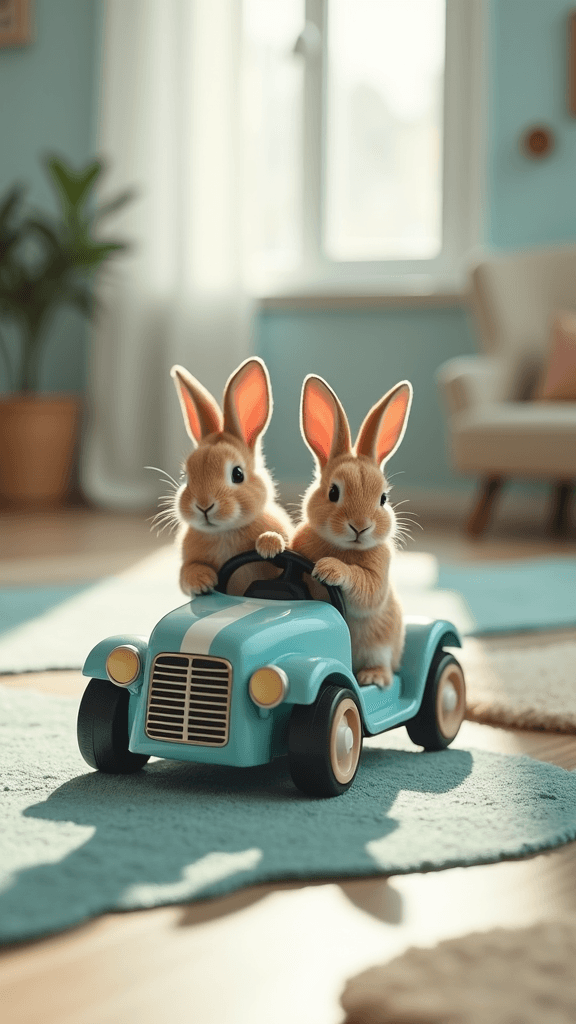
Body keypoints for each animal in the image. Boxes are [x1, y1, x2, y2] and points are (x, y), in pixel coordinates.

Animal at [169, 356, 291, 598]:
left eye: (237, 474)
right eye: (185, 476)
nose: (204, 506)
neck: (225, 532)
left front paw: (270, 543)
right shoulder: (188, 563)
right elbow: (187, 573)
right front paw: (201, 581)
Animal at [291, 374, 412, 688]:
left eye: (383, 499)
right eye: (333, 492)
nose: (360, 526)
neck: (343, 547)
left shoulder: (376, 578)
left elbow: (363, 586)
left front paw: (330, 569)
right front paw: (268, 541)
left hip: (379, 645)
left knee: (384, 667)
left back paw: (372, 678)